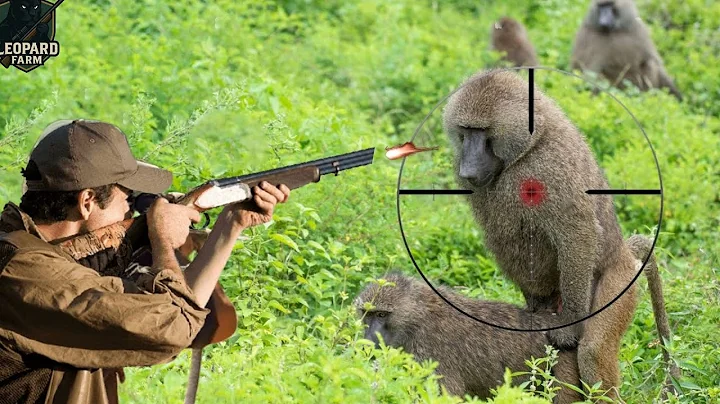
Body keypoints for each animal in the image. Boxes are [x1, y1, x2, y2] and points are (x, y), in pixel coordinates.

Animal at [354, 272, 582, 403]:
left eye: (381, 315)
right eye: (367, 314)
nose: (367, 341)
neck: (416, 316)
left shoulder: (432, 351)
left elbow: (446, 396)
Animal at [442, 69, 677, 400]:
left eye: (482, 131)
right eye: (465, 131)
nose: (468, 168)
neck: (528, 149)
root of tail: (624, 252)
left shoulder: (551, 168)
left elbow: (578, 232)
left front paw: (568, 329)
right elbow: (501, 238)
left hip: (619, 280)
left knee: (592, 352)